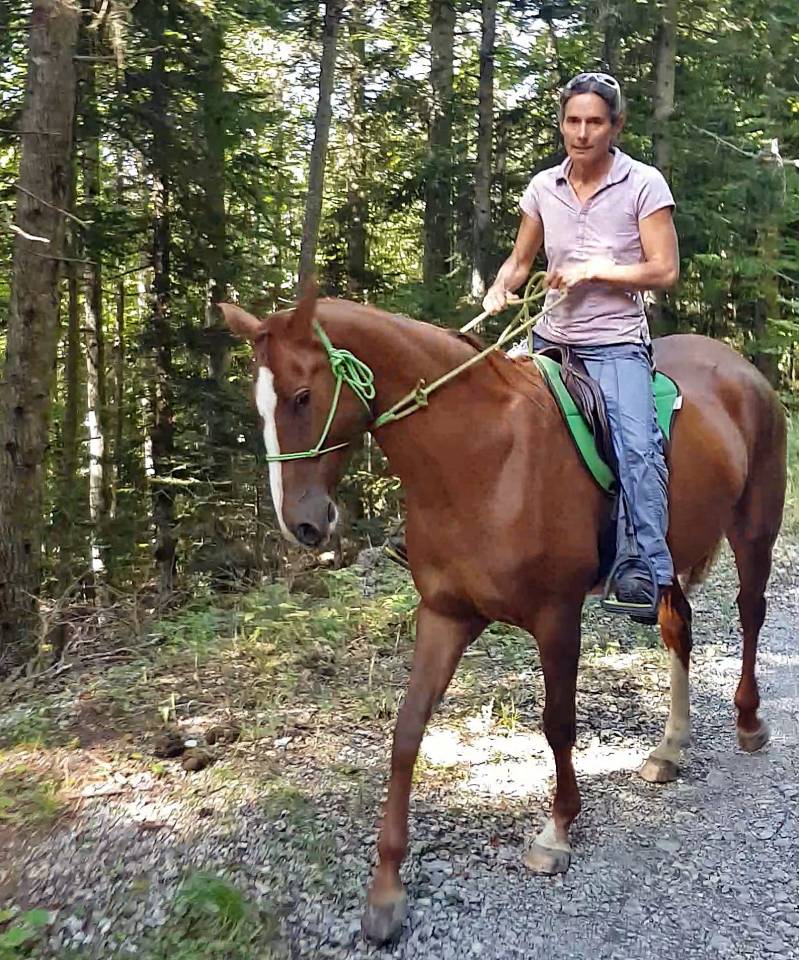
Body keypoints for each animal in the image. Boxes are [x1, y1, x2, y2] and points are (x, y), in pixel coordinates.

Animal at [220, 288, 787, 944]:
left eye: (302, 396)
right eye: (259, 404)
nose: (302, 524)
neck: (481, 458)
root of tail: (742, 367)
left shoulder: (556, 616)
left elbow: (558, 724)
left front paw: (556, 833)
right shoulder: (444, 615)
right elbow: (407, 731)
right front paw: (386, 890)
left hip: (753, 528)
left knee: (751, 614)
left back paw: (749, 722)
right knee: (679, 630)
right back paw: (669, 749)